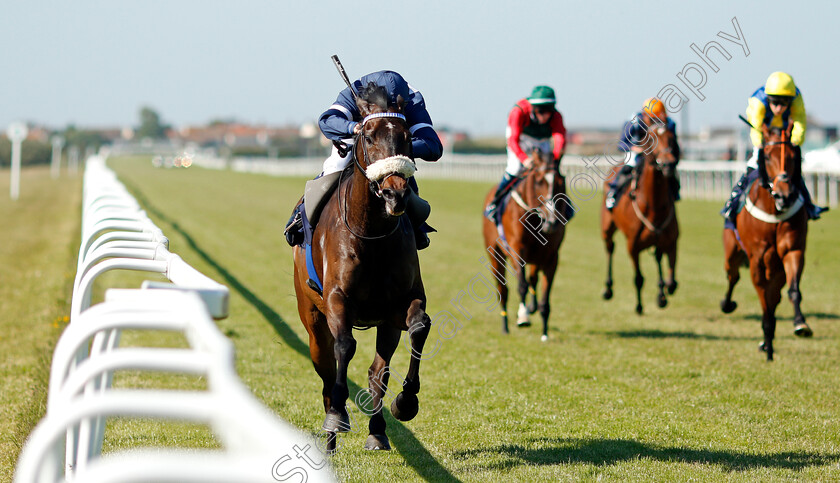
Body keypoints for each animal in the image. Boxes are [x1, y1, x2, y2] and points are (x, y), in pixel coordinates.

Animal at [292, 69, 442, 454]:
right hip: (311, 318)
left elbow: (420, 327)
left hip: (385, 324)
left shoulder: (402, 302)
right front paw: (337, 417)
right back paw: (331, 434)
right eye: (369, 136)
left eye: (406, 137)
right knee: (326, 369)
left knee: (378, 372)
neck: (371, 234)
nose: (395, 192)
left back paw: (377, 430)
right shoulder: (336, 300)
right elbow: (344, 348)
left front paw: (406, 403)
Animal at [480, 149, 572, 342]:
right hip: (495, 256)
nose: (552, 222)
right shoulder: (517, 250)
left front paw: (544, 333)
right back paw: (506, 326)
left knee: (532, 279)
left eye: (561, 183)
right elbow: (521, 285)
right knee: (503, 290)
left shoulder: (551, 257)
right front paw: (523, 317)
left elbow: (544, 299)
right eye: (539, 181)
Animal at [600, 100, 680, 316]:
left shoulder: (672, 242)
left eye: (672, 139)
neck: (653, 207)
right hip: (607, 228)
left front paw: (663, 293)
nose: (668, 165)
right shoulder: (632, 246)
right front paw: (639, 306)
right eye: (652, 139)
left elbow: (672, 281)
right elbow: (638, 278)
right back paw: (608, 288)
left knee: (658, 258)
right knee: (610, 249)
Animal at [720, 123, 812, 362]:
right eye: (768, 156)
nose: (784, 196)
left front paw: (800, 324)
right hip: (732, 252)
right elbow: (764, 305)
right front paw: (768, 342)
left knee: (775, 295)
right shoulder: (758, 261)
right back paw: (727, 304)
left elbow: (793, 290)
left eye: (793, 155)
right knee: (733, 276)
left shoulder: (792, 251)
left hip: (776, 269)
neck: (774, 211)